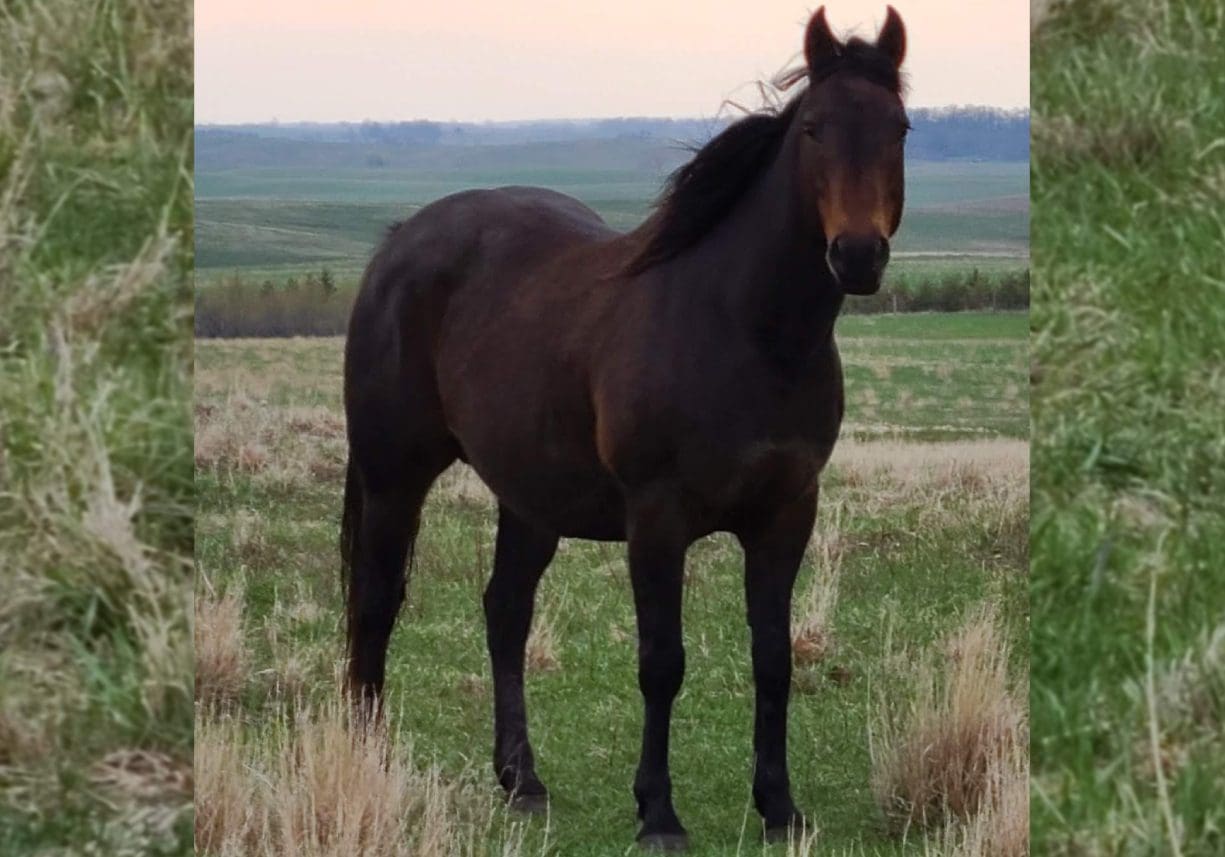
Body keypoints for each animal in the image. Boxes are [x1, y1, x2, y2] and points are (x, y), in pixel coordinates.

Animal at [340, 7, 908, 849]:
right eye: (813, 129)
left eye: (898, 128)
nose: (858, 254)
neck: (745, 331)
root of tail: (399, 241)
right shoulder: (657, 517)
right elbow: (661, 661)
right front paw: (658, 813)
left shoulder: (785, 513)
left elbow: (773, 658)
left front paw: (779, 806)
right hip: (392, 475)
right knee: (377, 600)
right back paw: (368, 754)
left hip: (529, 496)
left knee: (504, 612)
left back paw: (522, 780)